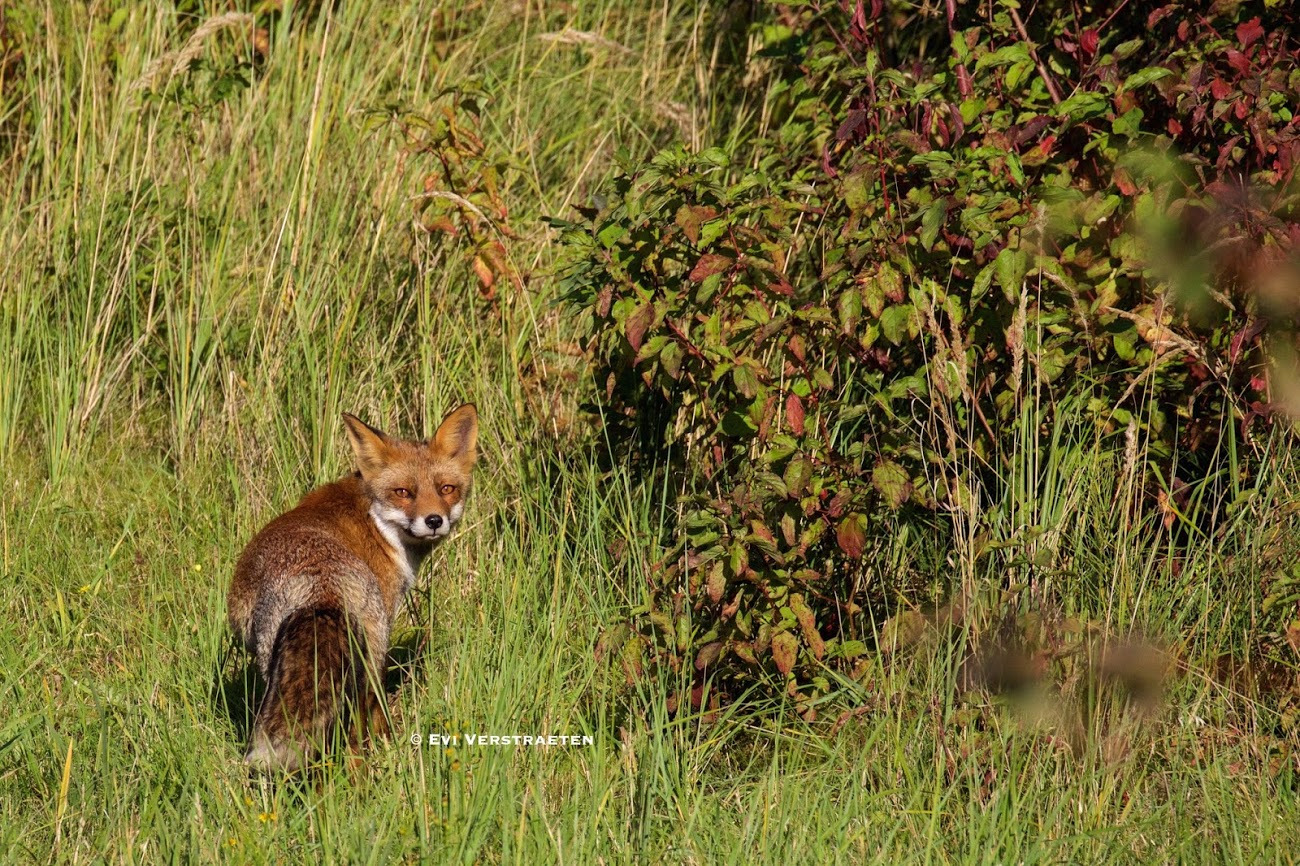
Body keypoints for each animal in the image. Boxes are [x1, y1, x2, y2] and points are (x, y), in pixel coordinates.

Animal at [227, 400, 478, 764]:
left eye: (447, 489)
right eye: (403, 492)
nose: (434, 520)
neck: (376, 522)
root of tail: (321, 586)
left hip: (272, 662)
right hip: (373, 654)